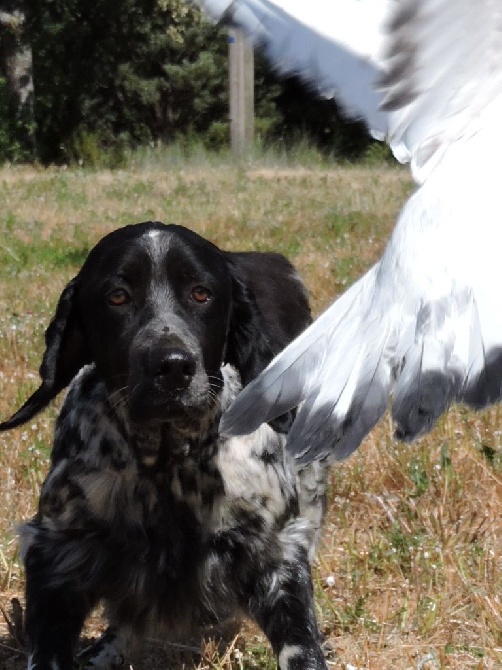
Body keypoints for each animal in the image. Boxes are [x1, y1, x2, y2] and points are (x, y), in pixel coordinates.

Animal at [0, 224, 330, 670]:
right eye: (117, 296)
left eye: (201, 293)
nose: (173, 366)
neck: (167, 461)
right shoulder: (57, 554)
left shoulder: (276, 554)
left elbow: (301, 644)